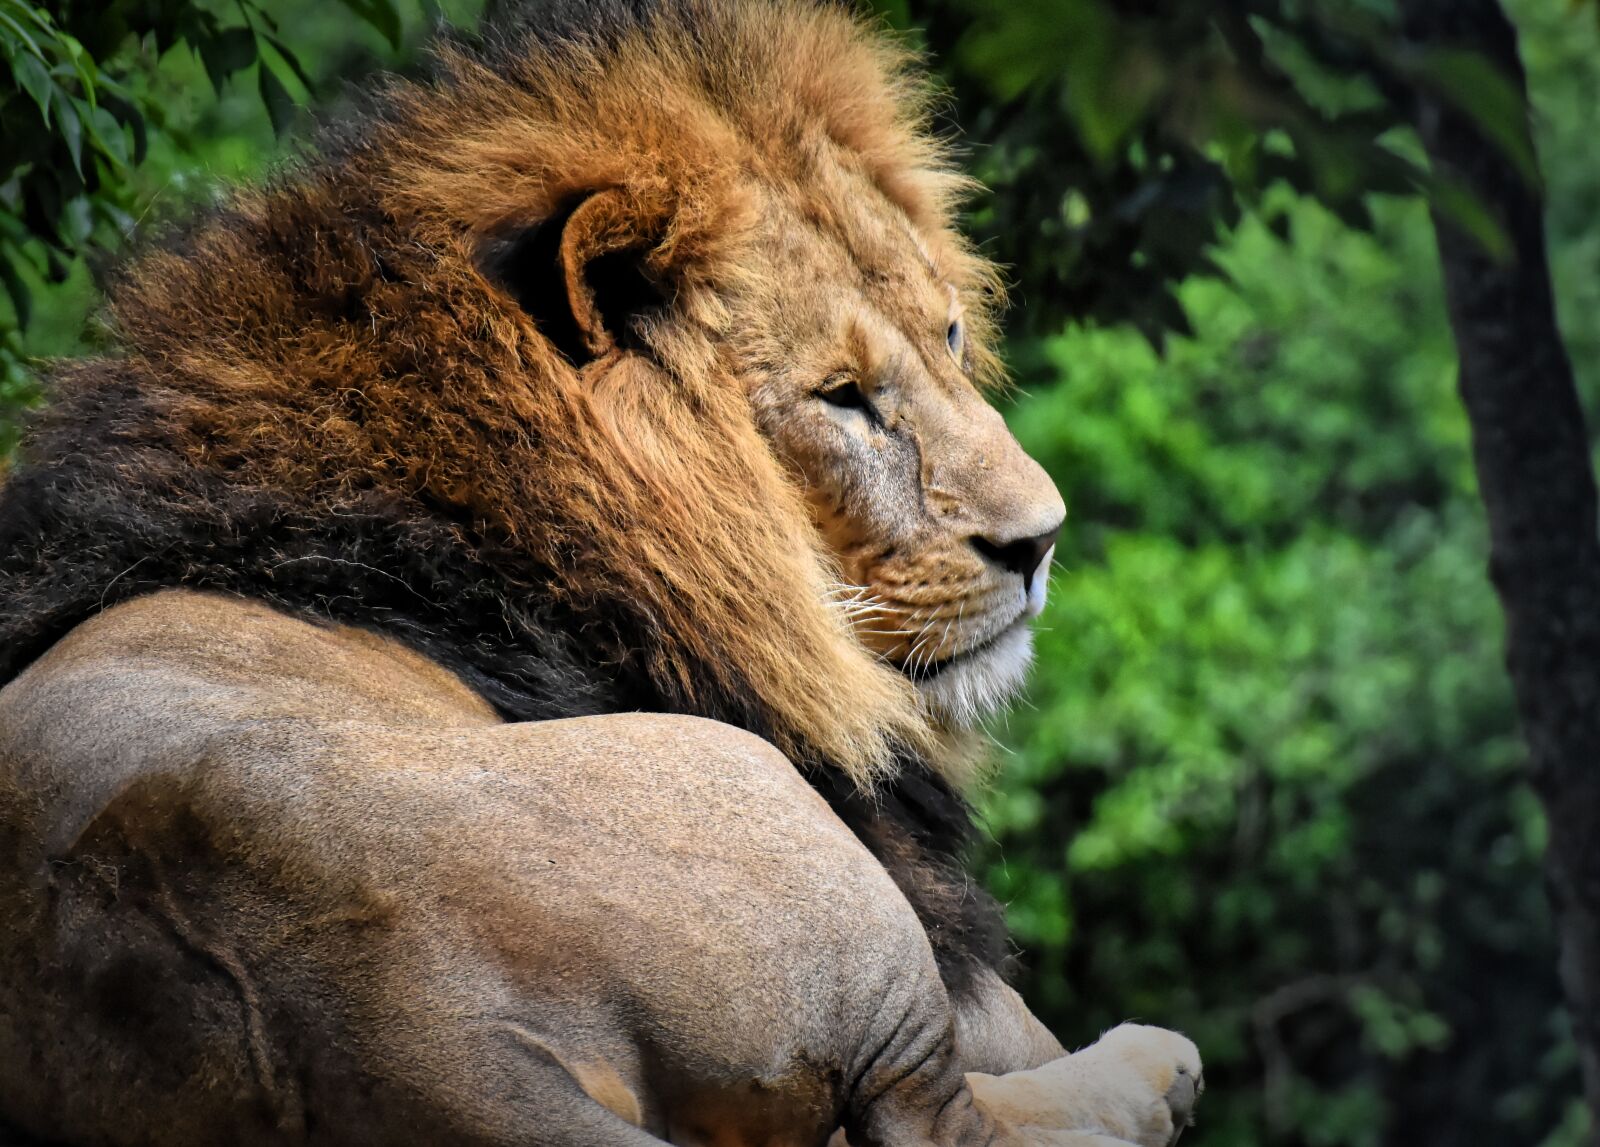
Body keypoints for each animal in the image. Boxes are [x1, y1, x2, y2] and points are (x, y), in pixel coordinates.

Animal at [0, 0, 1202, 1143]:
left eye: (950, 335)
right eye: (843, 397)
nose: (1040, 539)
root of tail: (426, 1039)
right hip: (771, 816)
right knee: (948, 1115)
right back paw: (1154, 1067)